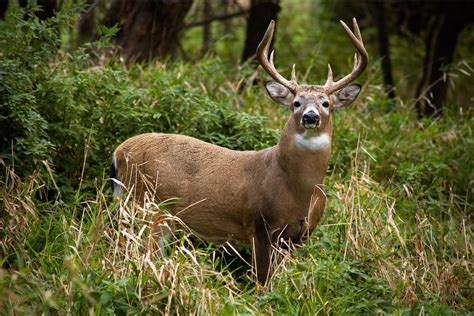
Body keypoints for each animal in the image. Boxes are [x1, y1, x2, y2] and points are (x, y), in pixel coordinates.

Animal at [110, 16, 366, 284]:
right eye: (296, 103)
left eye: (326, 103)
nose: (310, 116)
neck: (298, 189)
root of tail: (119, 153)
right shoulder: (259, 223)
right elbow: (263, 280)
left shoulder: (301, 234)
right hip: (142, 203)